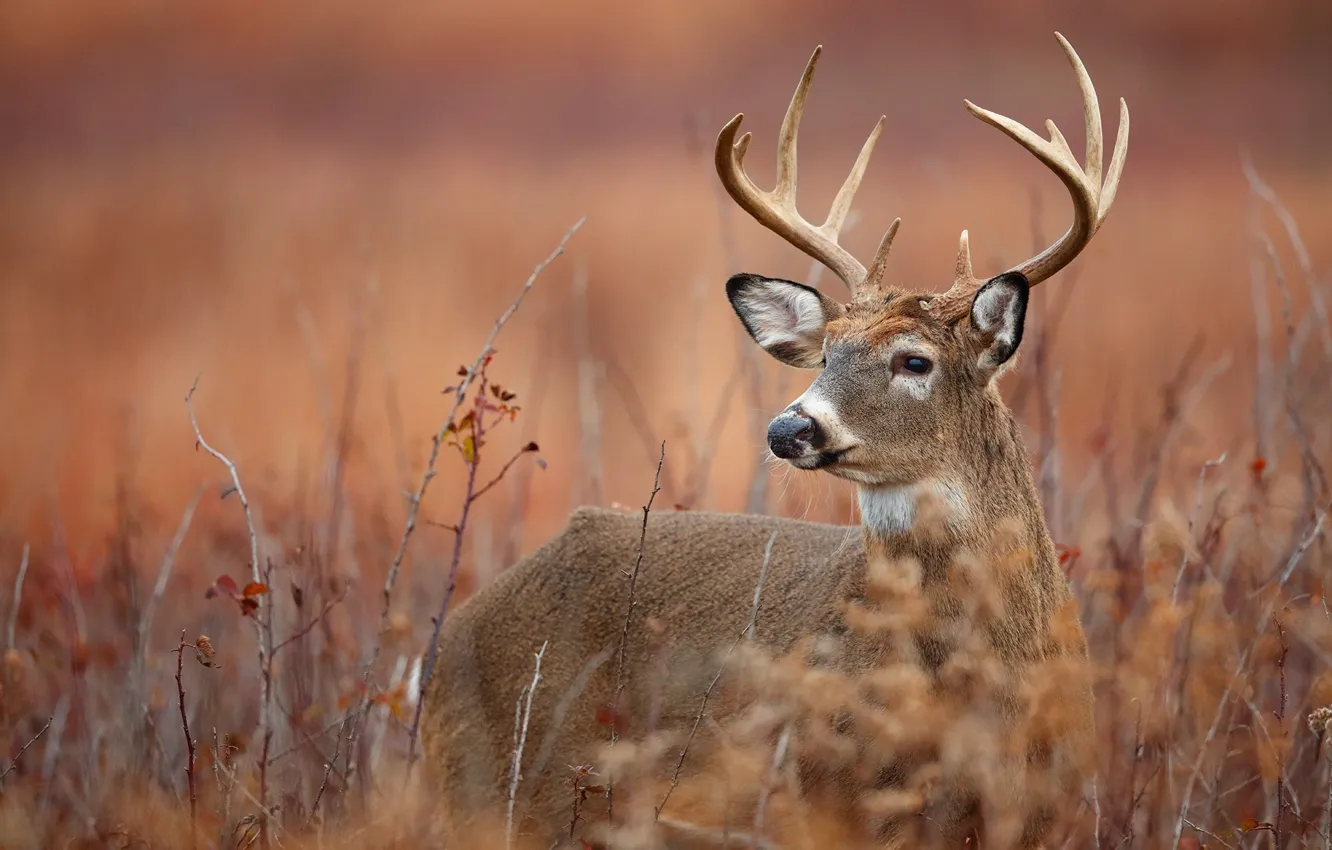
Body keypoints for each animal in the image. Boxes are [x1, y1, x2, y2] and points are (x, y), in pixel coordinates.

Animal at [420, 33, 1129, 850]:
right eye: (826, 355)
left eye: (914, 361)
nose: (790, 427)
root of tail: (443, 646)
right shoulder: (834, 803)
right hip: (489, 789)